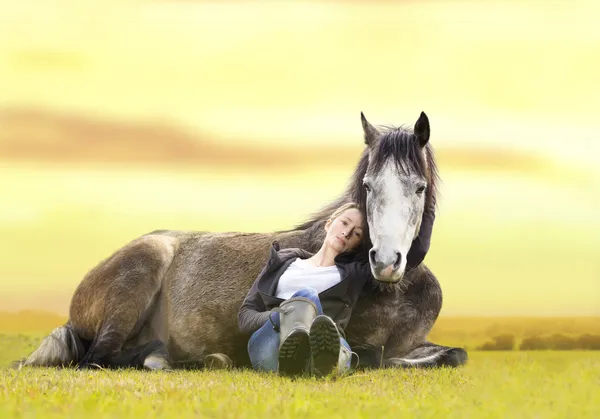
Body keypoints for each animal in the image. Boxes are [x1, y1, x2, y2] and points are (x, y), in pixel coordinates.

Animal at [23, 111, 468, 370]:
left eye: (419, 187)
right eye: (369, 185)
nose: (387, 261)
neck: (395, 291)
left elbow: (455, 355)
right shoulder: (361, 341)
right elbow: (375, 358)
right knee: (96, 360)